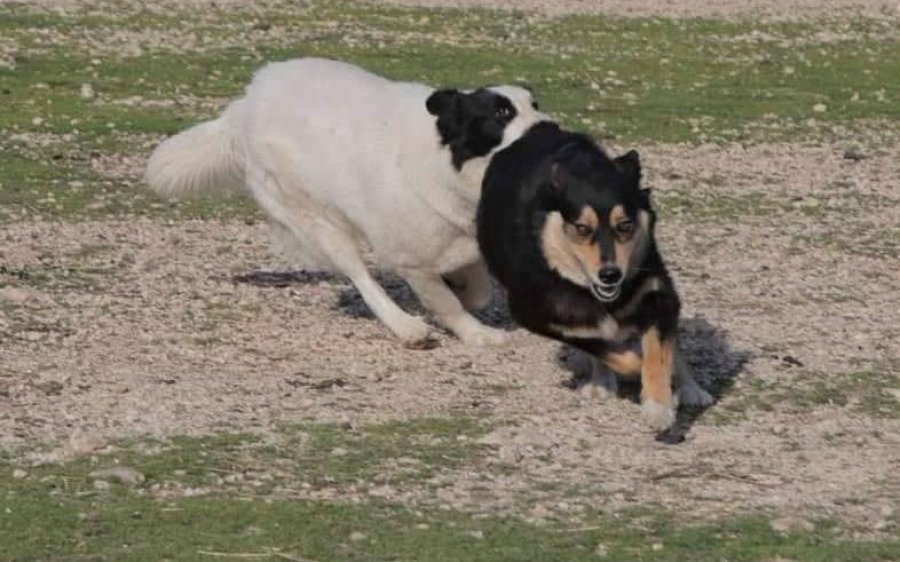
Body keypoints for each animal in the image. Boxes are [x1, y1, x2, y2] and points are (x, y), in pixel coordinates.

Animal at [144, 59, 544, 344]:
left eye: (535, 104)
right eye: (502, 113)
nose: (547, 126)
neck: (447, 162)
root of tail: (244, 107)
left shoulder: (461, 235)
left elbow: (476, 288)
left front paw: (465, 288)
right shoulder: (412, 262)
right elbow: (447, 303)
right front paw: (477, 333)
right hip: (316, 220)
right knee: (360, 275)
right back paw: (404, 326)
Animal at [478, 121, 712, 428]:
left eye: (625, 225)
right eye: (581, 228)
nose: (610, 275)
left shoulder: (657, 293)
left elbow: (659, 352)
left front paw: (659, 403)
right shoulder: (537, 314)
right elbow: (606, 348)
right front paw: (628, 369)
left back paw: (690, 388)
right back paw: (602, 380)